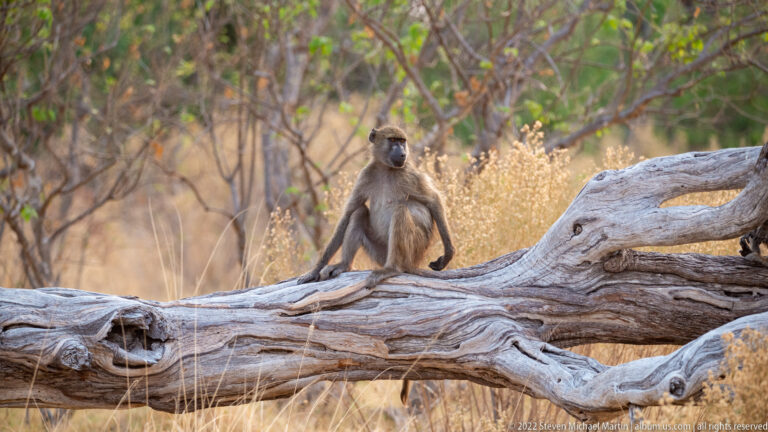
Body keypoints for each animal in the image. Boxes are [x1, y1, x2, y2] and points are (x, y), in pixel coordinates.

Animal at [296, 125, 454, 405]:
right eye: (393, 141)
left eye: (403, 141)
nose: (402, 152)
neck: (385, 169)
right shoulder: (365, 176)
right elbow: (349, 213)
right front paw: (314, 270)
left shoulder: (410, 174)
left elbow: (433, 200)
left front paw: (448, 253)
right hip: (379, 250)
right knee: (360, 213)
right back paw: (343, 265)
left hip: (410, 251)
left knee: (402, 210)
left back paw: (390, 270)